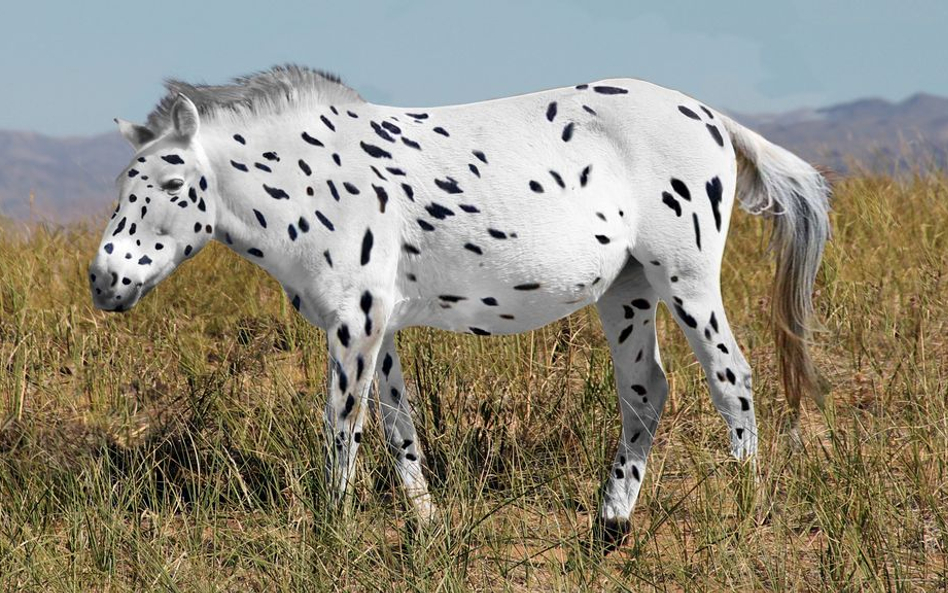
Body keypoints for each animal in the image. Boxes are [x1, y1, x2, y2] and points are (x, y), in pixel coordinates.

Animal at [89, 63, 828, 544]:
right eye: (125, 182)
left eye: (173, 183)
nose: (104, 280)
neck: (315, 177)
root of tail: (711, 117)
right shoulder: (377, 326)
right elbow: (398, 426)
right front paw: (427, 524)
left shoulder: (354, 323)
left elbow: (341, 424)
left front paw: (333, 530)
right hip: (627, 292)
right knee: (646, 388)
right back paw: (611, 522)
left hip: (686, 280)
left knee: (732, 378)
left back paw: (745, 508)